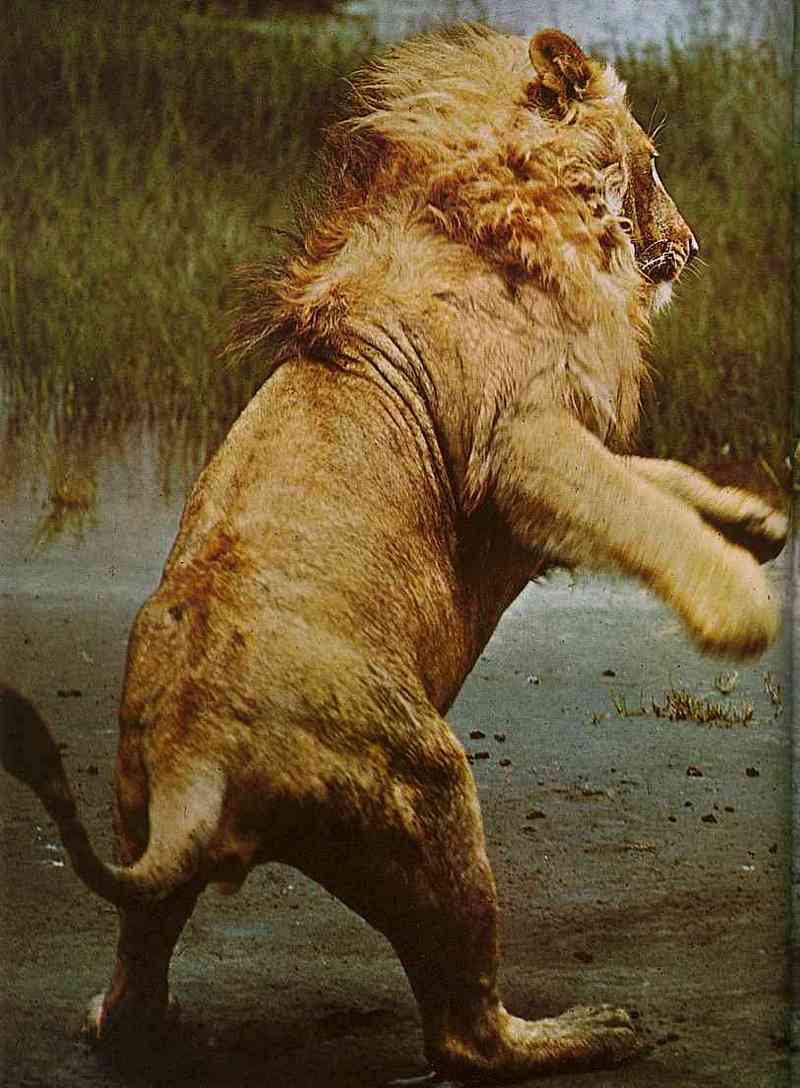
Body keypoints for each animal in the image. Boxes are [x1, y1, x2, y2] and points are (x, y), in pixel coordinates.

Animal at [0, 24, 787, 1083]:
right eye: (653, 163)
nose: (693, 246)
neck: (510, 202)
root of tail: (195, 760)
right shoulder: (519, 448)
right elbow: (636, 502)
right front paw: (742, 605)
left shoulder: (551, 448)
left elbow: (657, 478)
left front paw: (753, 521)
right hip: (433, 795)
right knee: (466, 1035)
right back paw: (590, 1030)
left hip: (139, 821)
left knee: (129, 988)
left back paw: (149, 1023)